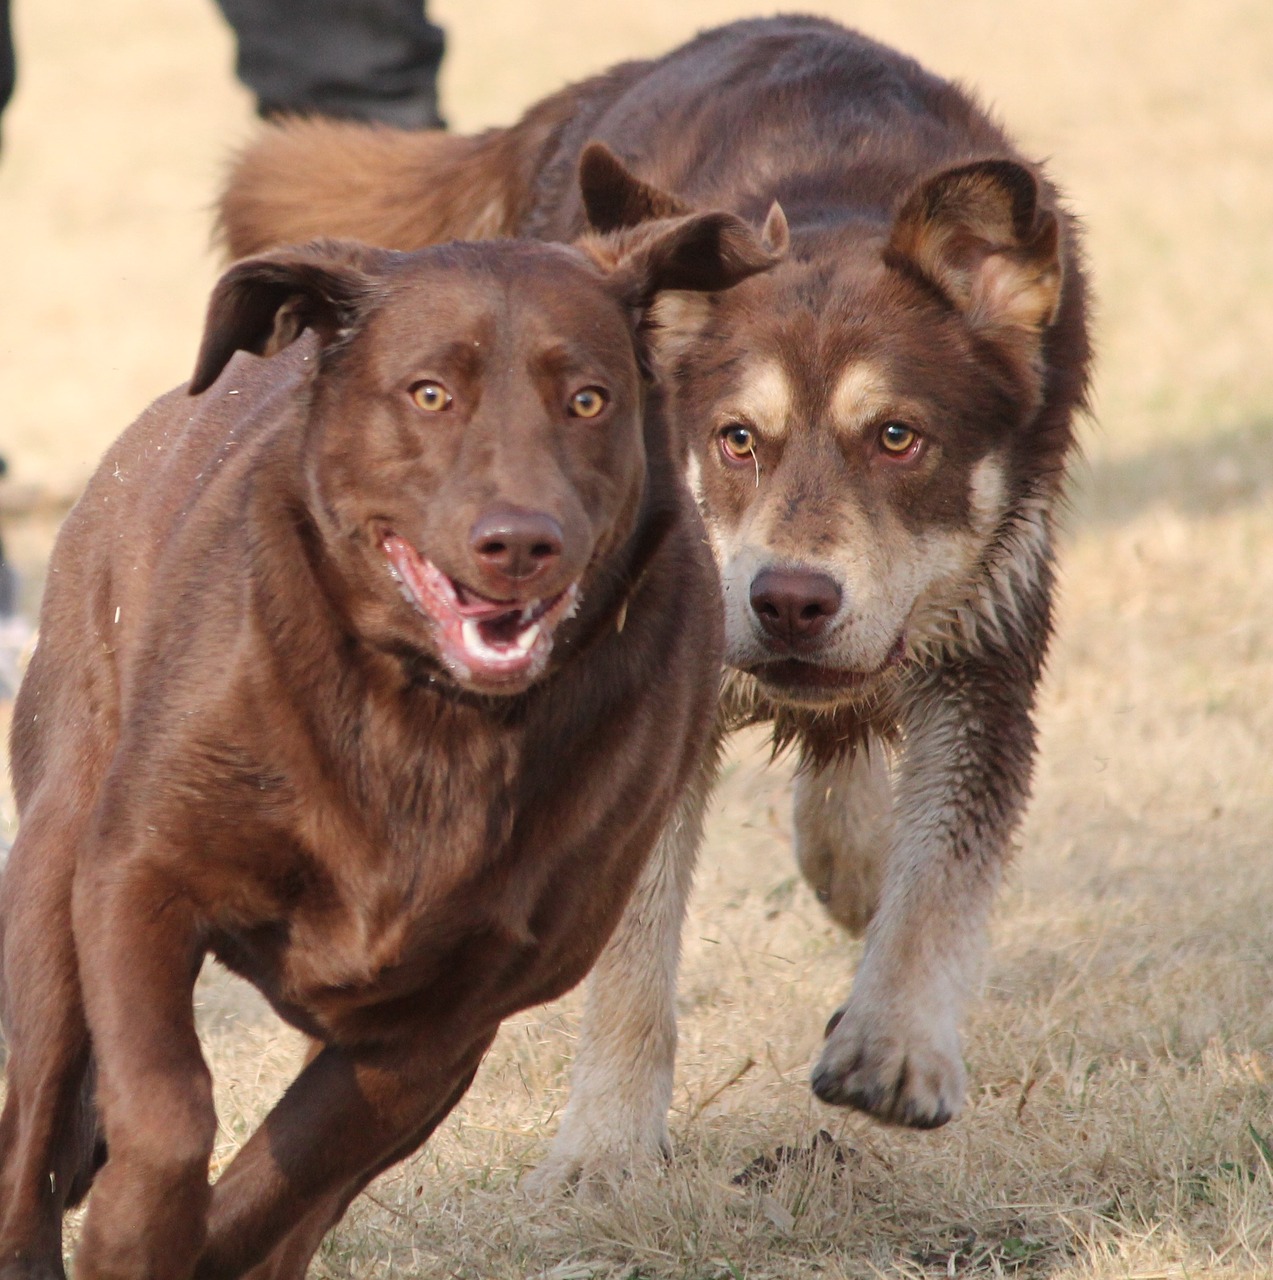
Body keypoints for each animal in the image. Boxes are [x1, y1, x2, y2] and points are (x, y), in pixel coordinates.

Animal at [0, 215, 777, 1274]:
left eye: (587, 399)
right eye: (429, 393)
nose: (519, 542)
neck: (429, 717)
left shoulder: (438, 1030)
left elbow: (280, 1187)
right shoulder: (136, 876)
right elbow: (166, 1111)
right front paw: (134, 1231)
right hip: (53, 864)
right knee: (30, 1131)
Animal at [218, 10, 1095, 1187]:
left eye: (897, 436)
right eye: (735, 438)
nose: (789, 600)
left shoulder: (987, 653)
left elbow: (942, 875)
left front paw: (897, 1044)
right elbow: (632, 951)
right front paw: (604, 1148)